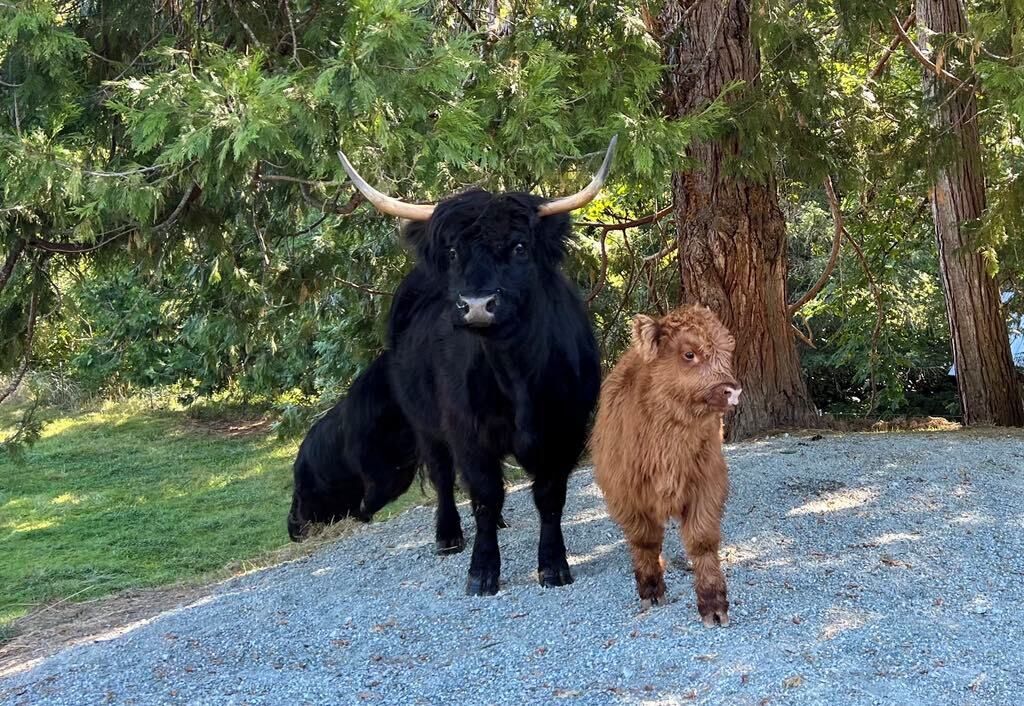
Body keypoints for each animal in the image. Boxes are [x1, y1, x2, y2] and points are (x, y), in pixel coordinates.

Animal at [334, 138, 615, 594]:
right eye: (452, 252)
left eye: (519, 247)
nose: (477, 305)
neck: (516, 376)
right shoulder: (467, 430)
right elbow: (483, 492)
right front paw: (482, 571)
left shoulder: (566, 429)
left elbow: (549, 496)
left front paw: (554, 565)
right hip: (424, 421)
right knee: (444, 475)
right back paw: (448, 535)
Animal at [591, 305, 742, 626]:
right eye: (689, 353)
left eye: (726, 352)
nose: (732, 391)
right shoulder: (627, 497)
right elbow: (644, 541)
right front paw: (650, 590)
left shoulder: (708, 483)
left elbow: (702, 541)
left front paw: (713, 604)